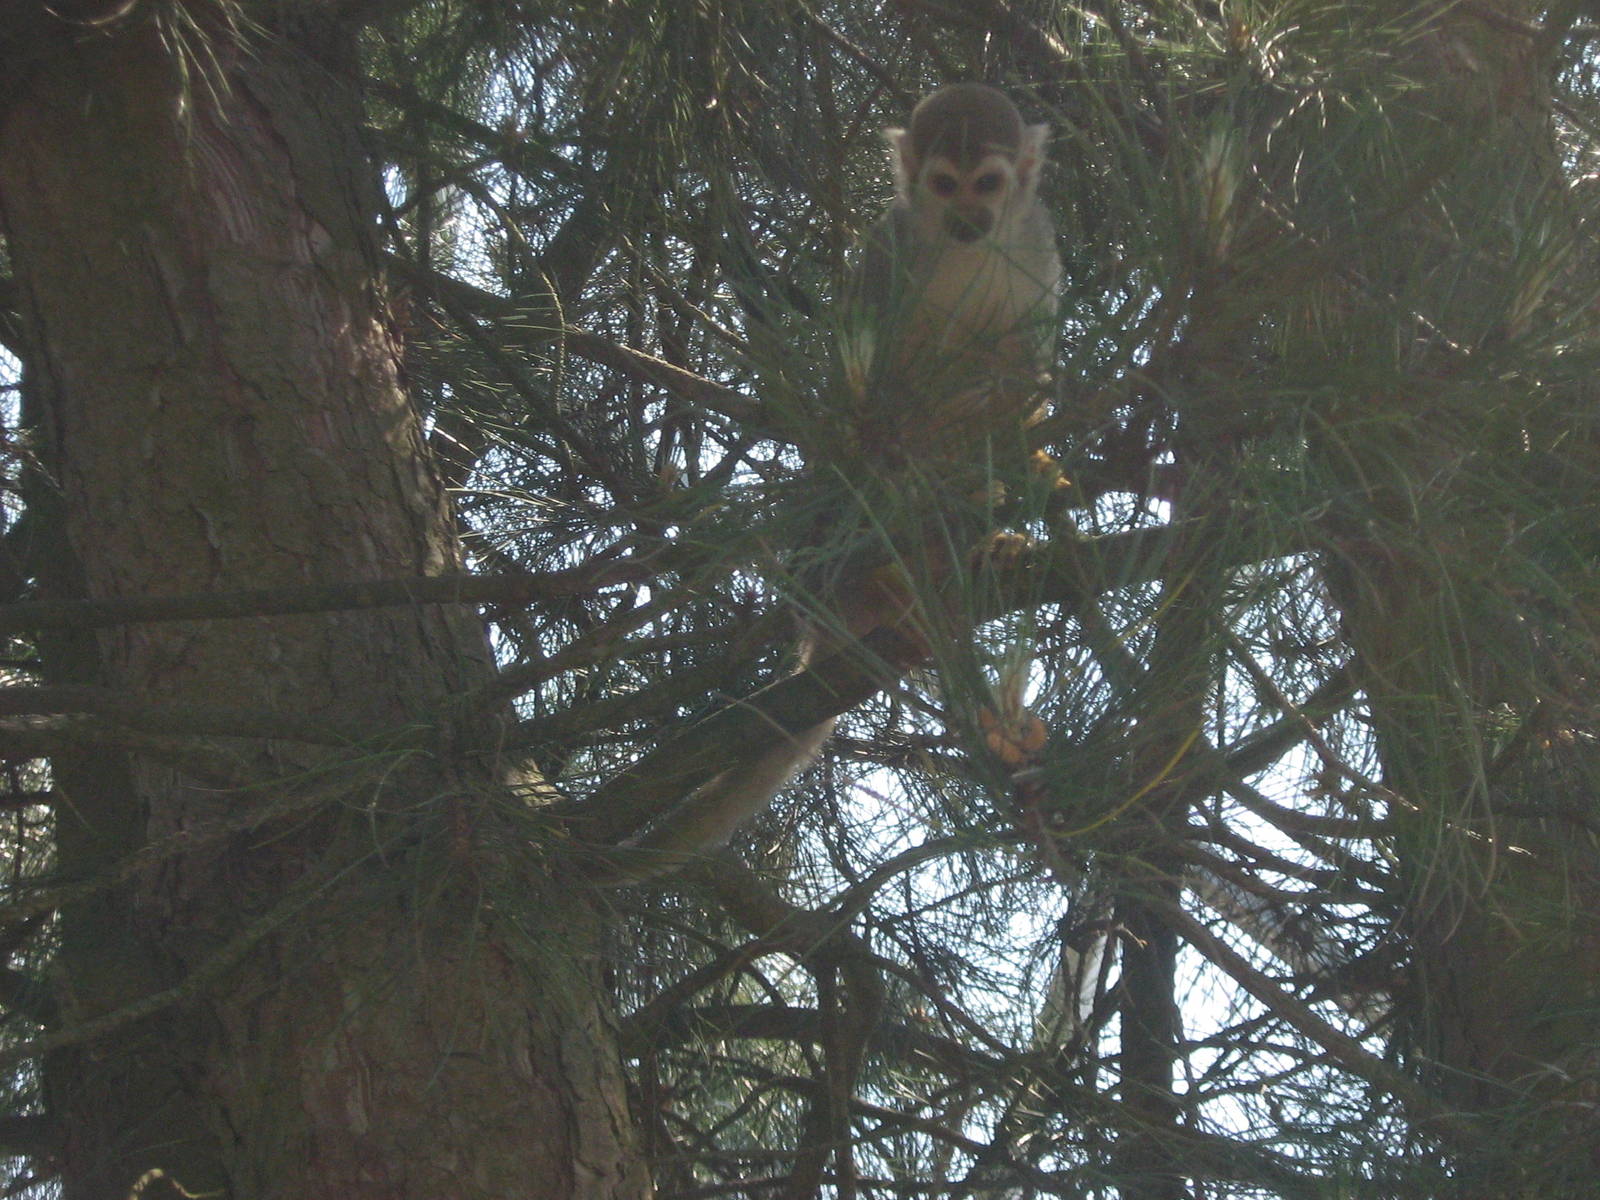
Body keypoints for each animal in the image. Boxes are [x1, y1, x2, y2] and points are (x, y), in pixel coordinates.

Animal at [593, 84, 1060, 885]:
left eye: (989, 184)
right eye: (945, 185)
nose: (969, 220)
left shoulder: (1035, 241)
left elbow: (1025, 372)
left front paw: (1026, 461)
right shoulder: (892, 249)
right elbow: (870, 388)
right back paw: (893, 570)